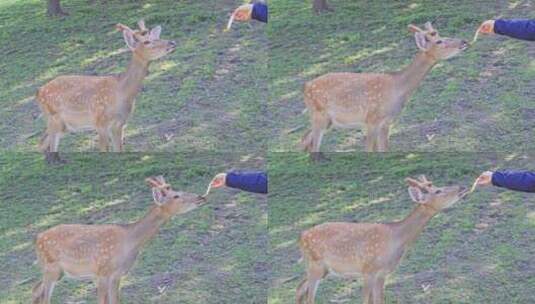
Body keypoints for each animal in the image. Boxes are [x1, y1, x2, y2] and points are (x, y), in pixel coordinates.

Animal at [31, 176, 205, 304]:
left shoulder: (117, 275)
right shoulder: (102, 271)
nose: (201, 197)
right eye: (176, 196)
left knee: (36, 289)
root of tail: (37, 238)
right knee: (43, 296)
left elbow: (115, 301)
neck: (129, 243)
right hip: (51, 267)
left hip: (56, 271)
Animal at [36, 20, 178, 164]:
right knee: (46, 143)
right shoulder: (100, 122)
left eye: (157, 37)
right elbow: (104, 150)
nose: (172, 43)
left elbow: (119, 150)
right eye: (147, 42)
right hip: (53, 118)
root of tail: (38, 92)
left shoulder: (120, 124)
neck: (122, 94)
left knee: (43, 142)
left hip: (64, 125)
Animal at [298, 176, 468, 304]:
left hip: (322, 269)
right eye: (438, 191)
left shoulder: (383, 274)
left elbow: (379, 301)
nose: (463, 187)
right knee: (308, 296)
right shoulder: (368, 270)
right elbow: (365, 301)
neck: (396, 240)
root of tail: (301, 236)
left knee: (300, 288)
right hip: (315, 265)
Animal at [302, 23, 468, 162]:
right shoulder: (371, 118)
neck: (397, 90)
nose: (464, 41)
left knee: (306, 138)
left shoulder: (387, 121)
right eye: (439, 41)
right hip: (319, 114)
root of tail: (305, 87)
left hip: (327, 120)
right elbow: (369, 150)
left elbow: (383, 149)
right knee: (312, 142)